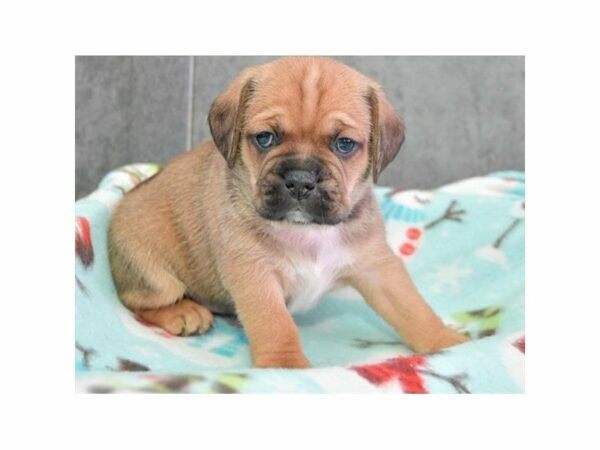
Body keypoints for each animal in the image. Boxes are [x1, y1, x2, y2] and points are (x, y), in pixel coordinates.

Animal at [110, 56, 472, 368]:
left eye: (344, 144)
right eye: (265, 138)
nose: (299, 180)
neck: (307, 231)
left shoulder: (378, 268)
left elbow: (413, 308)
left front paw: (446, 343)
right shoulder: (255, 275)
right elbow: (274, 323)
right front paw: (284, 367)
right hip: (154, 276)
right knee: (135, 300)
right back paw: (182, 313)